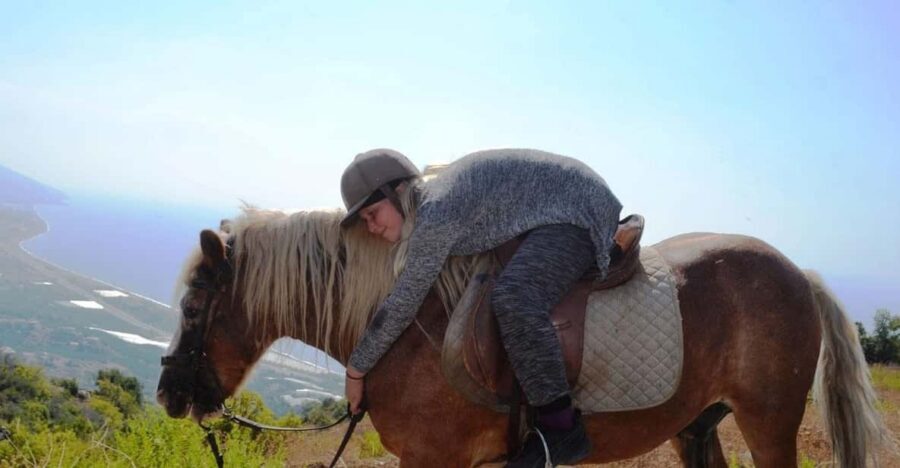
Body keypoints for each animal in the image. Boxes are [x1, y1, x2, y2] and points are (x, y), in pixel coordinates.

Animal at [156, 207, 887, 467]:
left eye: (192, 307)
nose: (167, 393)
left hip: (769, 424)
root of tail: (799, 274)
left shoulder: (435, 462)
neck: (407, 326)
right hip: (697, 427)